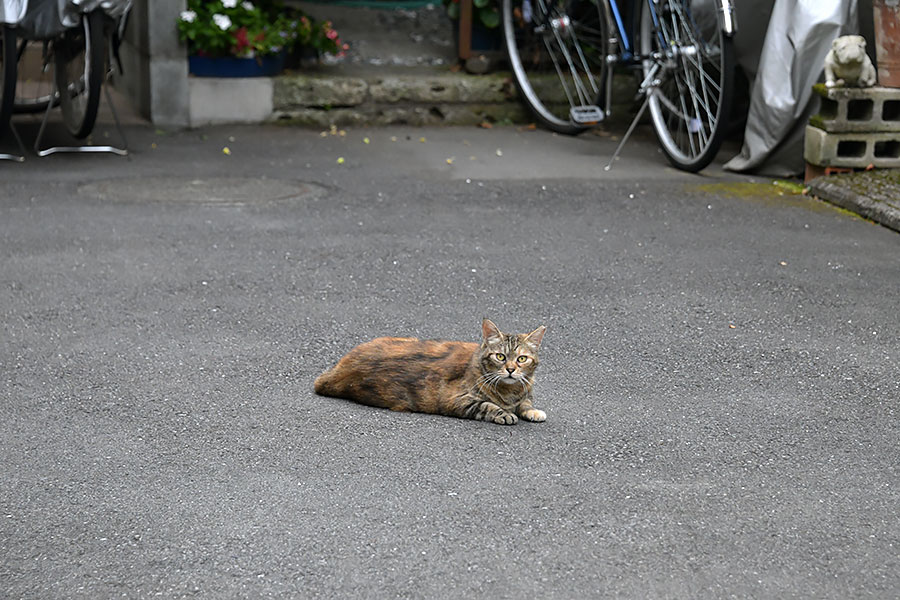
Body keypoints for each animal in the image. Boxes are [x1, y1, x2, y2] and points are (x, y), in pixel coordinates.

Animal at [312, 318, 544, 426]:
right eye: (500, 357)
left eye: (522, 359)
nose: (511, 370)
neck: (510, 391)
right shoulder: (456, 400)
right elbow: (487, 405)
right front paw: (504, 413)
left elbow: (526, 403)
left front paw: (532, 410)